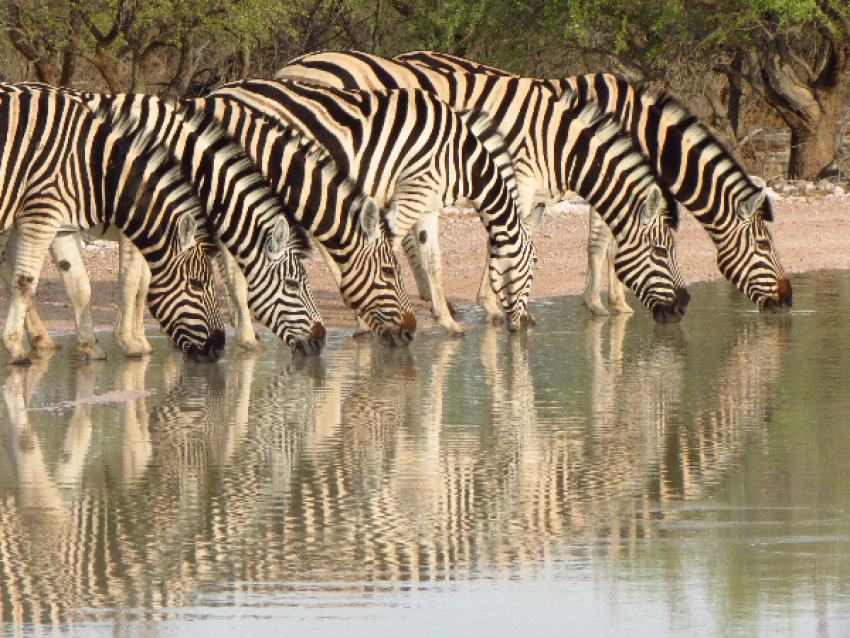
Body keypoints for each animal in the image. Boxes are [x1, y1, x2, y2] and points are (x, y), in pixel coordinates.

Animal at [0, 91, 225, 364]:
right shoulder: (41, 213)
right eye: (196, 284)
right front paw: (15, 348)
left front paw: (93, 346)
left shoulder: (62, 225)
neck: (94, 167)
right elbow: (25, 282)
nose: (218, 348)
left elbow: (81, 285)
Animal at [276, 53, 688, 324]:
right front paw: (602, 304)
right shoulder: (523, 179)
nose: (684, 305)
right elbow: (594, 242)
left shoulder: (539, 194)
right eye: (662, 251)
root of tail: (290, 66)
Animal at [394, 52, 792, 316]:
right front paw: (605, 304)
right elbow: (603, 244)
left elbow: (611, 243)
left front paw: (615, 302)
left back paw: (428, 296)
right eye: (764, 244)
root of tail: (404, 55)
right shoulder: (606, 175)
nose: (788, 300)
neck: (636, 125)